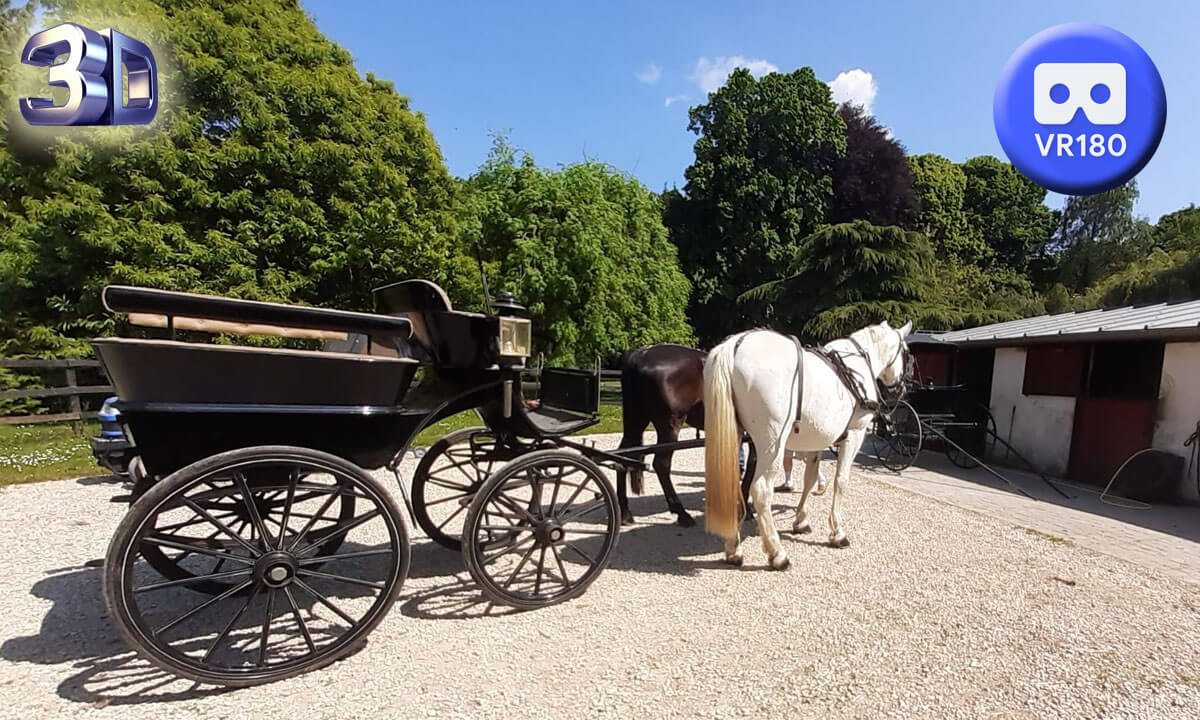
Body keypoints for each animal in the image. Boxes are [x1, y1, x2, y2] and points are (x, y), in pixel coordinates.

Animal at [615, 343, 757, 527]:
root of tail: (642, 354)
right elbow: (753, 465)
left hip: (635, 422)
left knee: (623, 458)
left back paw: (625, 512)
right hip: (669, 427)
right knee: (661, 465)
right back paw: (681, 513)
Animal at [702, 321, 912, 569]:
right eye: (907, 353)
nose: (901, 389)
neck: (857, 367)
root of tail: (736, 344)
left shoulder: (816, 442)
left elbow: (810, 479)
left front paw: (801, 520)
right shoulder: (854, 435)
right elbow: (841, 481)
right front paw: (838, 532)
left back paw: (734, 549)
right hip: (771, 446)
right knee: (761, 491)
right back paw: (777, 554)